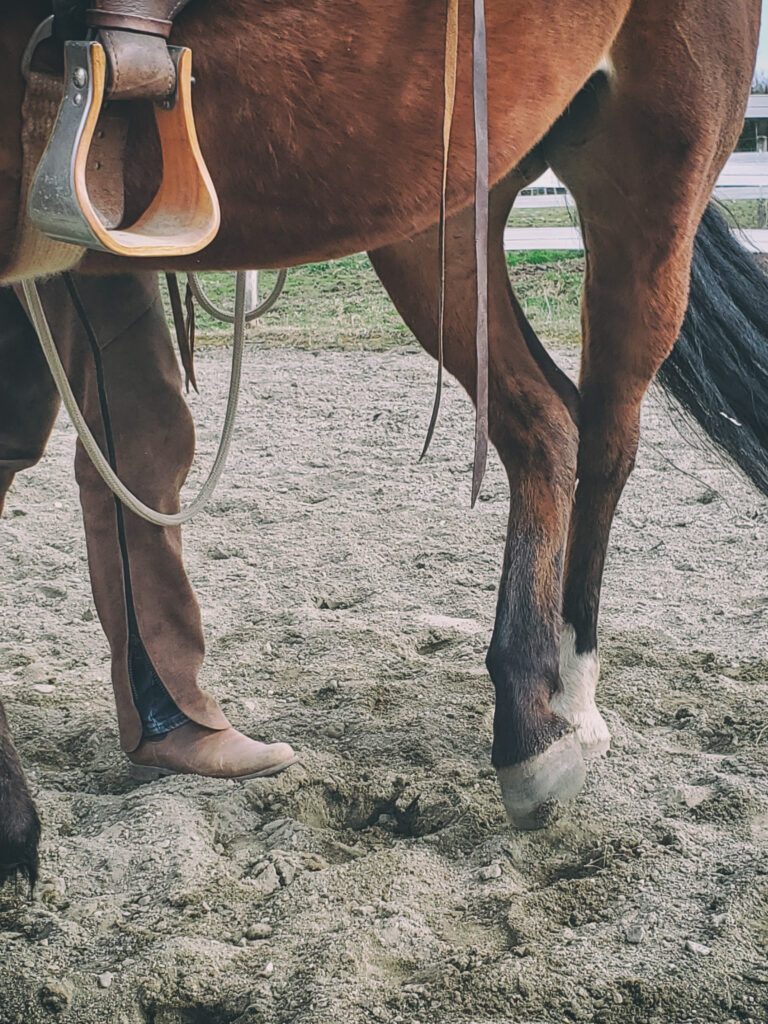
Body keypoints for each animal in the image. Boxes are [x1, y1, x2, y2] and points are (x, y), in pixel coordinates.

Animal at [1, 0, 768, 884]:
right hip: (448, 208)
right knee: (550, 423)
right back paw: (543, 708)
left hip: (642, 177)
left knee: (602, 436)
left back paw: (560, 704)